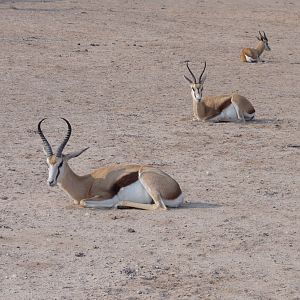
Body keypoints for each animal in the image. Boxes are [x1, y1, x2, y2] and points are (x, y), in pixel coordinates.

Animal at [37, 118, 183, 210]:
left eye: (61, 163)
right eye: (47, 163)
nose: (50, 182)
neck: (86, 182)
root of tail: (178, 190)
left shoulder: (105, 196)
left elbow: (84, 202)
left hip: (145, 178)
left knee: (159, 206)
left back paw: (121, 204)